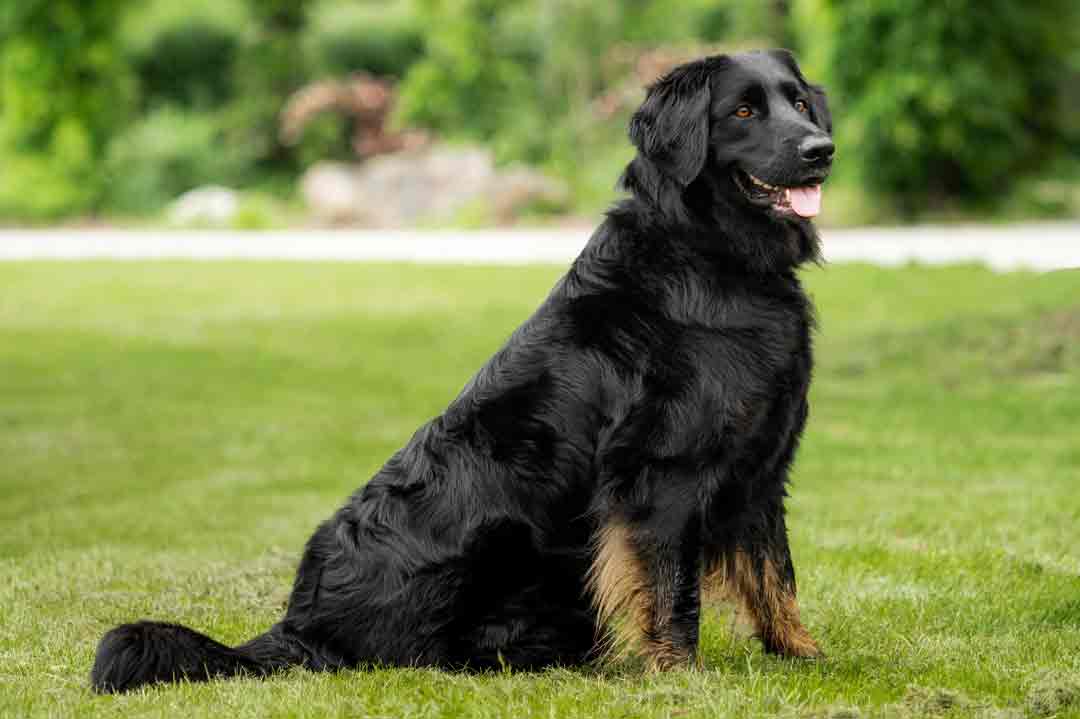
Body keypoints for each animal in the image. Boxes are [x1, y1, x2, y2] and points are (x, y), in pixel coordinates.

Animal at [92, 50, 833, 690]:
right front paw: (680, 675)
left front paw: (802, 655)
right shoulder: (662, 476)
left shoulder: (762, 470)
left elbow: (775, 574)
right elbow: (671, 592)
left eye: (799, 104)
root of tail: (302, 624)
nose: (820, 150)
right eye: (743, 112)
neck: (713, 257)